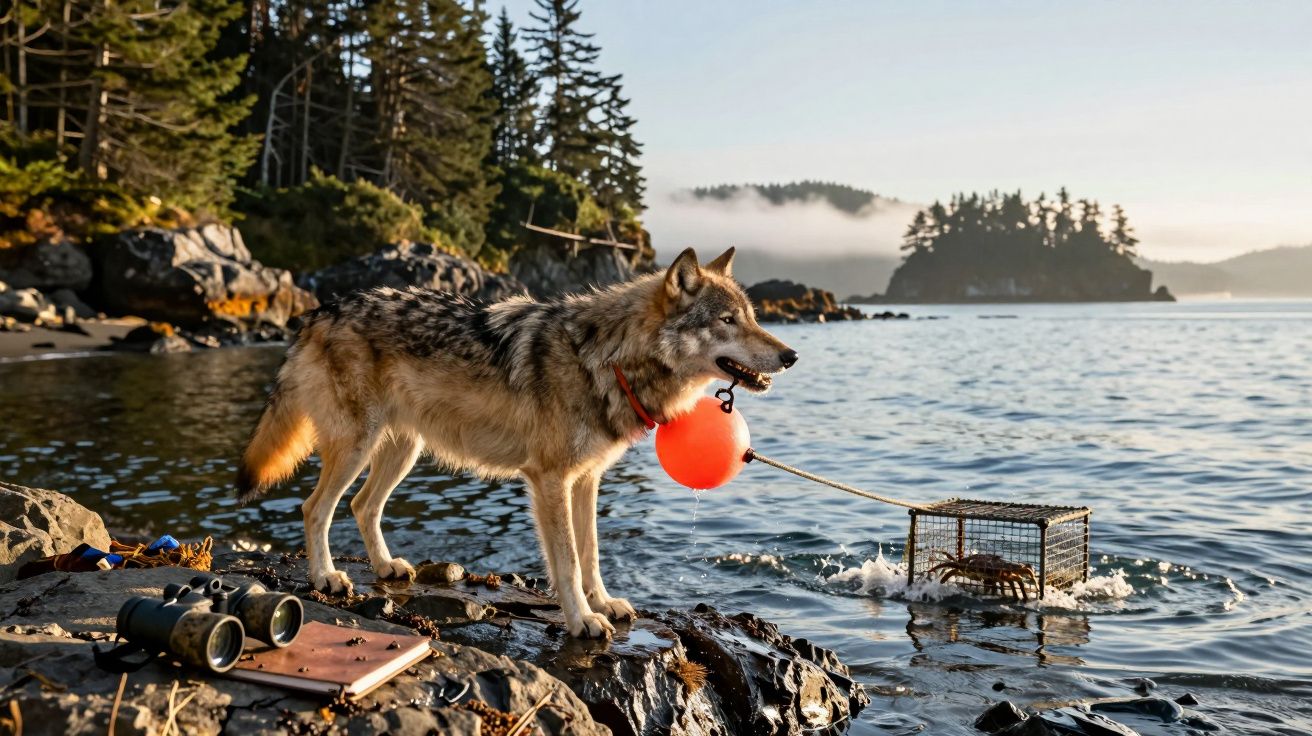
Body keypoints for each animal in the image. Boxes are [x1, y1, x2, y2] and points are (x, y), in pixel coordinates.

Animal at [235, 247, 797, 638]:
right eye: (728, 320)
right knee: (316, 508)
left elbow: (592, 554)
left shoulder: (586, 480)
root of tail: (320, 310)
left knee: (361, 506)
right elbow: (567, 561)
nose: (790, 355)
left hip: (401, 452)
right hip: (358, 446)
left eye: (752, 316)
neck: (608, 359)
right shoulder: (549, 480)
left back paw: (386, 567)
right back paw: (326, 577)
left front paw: (604, 603)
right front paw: (582, 621)